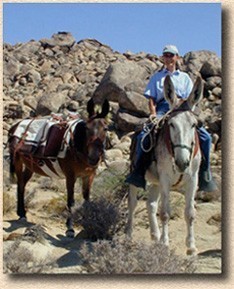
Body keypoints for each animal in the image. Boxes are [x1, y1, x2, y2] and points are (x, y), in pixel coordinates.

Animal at [7, 98, 109, 237]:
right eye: (87, 128)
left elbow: (87, 200)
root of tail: (15, 125)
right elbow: (71, 201)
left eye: (106, 128)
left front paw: (87, 224)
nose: (93, 158)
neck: (76, 146)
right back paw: (22, 213)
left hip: (30, 166)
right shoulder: (70, 176)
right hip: (17, 161)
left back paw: (22, 213)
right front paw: (70, 228)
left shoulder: (89, 176)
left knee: (22, 182)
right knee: (20, 185)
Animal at [126, 75, 203, 254]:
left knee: (151, 204)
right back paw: (129, 235)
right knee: (132, 203)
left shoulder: (193, 179)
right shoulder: (166, 179)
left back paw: (155, 235)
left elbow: (190, 213)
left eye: (194, 125)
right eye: (171, 124)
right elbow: (165, 213)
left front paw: (191, 247)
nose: (182, 162)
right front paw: (165, 244)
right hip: (138, 175)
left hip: (156, 182)